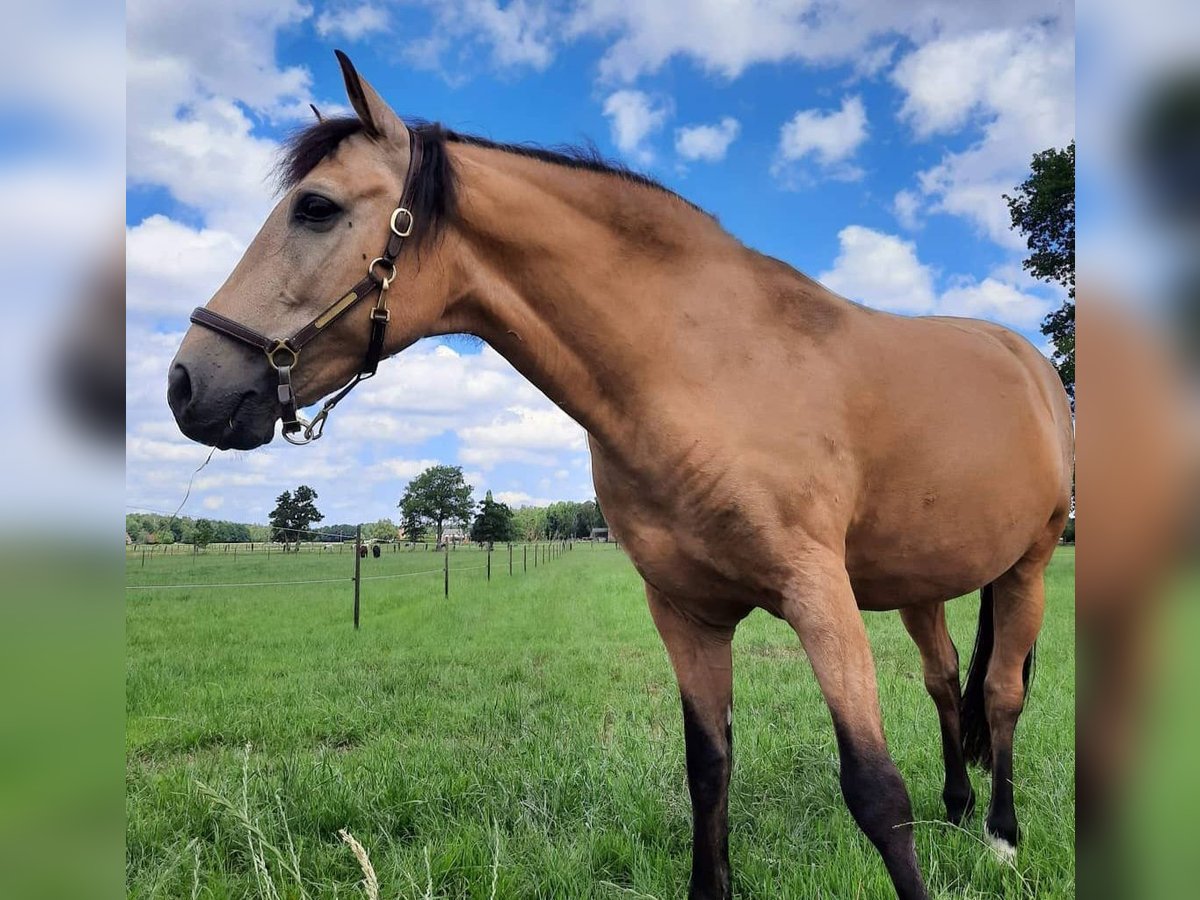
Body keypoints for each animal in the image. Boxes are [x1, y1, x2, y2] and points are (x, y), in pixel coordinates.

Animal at [167, 52, 1073, 900]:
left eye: (315, 207)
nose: (186, 384)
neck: (706, 367)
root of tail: (1028, 362)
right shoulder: (686, 613)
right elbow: (709, 770)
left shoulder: (821, 598)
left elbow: (875, 790)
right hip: (923, 584)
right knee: (945, 679)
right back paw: (957, 805)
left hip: (1026, 569)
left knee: (1000, 696)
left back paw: (1001, 835)